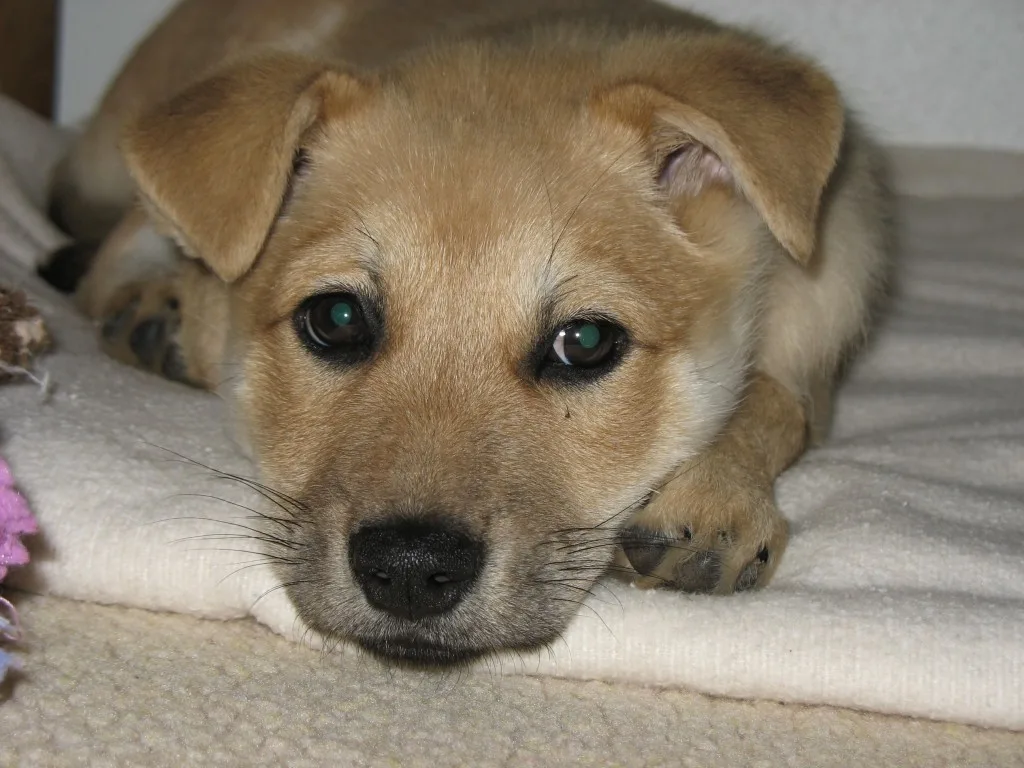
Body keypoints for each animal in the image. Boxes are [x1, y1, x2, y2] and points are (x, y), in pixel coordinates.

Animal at [44, 0, 888, 667]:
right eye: (336, 319)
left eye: (585, 342)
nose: (411, 571)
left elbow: (775, 401)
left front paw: (714, 493)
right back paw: (160, 309)